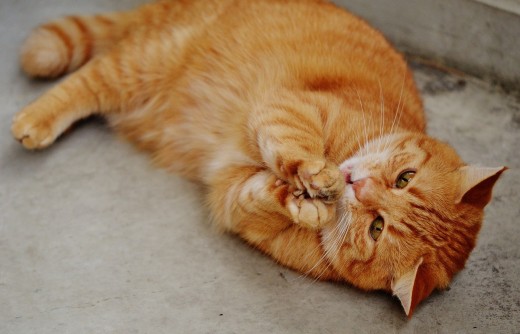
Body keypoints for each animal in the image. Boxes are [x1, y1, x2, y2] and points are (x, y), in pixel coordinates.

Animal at [11, 0, 504, 318]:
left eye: (376, 229)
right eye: (404, 177)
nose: (356, 185)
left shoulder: (235, 197)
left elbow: (263, 194)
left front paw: (304, 202)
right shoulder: (290, 107)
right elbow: (296, 144)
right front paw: (315, 177)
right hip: (141, 63)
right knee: (83, 80)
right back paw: (33, 120)